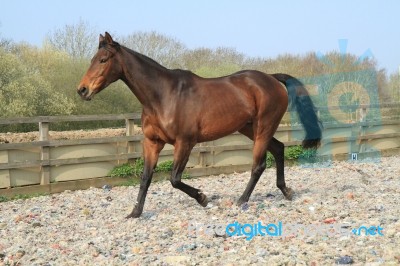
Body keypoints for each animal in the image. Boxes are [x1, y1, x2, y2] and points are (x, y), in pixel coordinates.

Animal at [78, 32, 322, 218]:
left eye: (103, 59)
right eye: (91, 59)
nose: (82, 90)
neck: (163, 96)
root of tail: (271, 78)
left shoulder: (185, 142)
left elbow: (175, 179)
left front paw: (203, 198)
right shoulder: (152, 142)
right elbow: (146, 177)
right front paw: (135, 213)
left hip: (263, 127)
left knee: (259, 164)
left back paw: (241, 199)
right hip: (249, 128)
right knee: (279, 148)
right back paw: (286, 191)